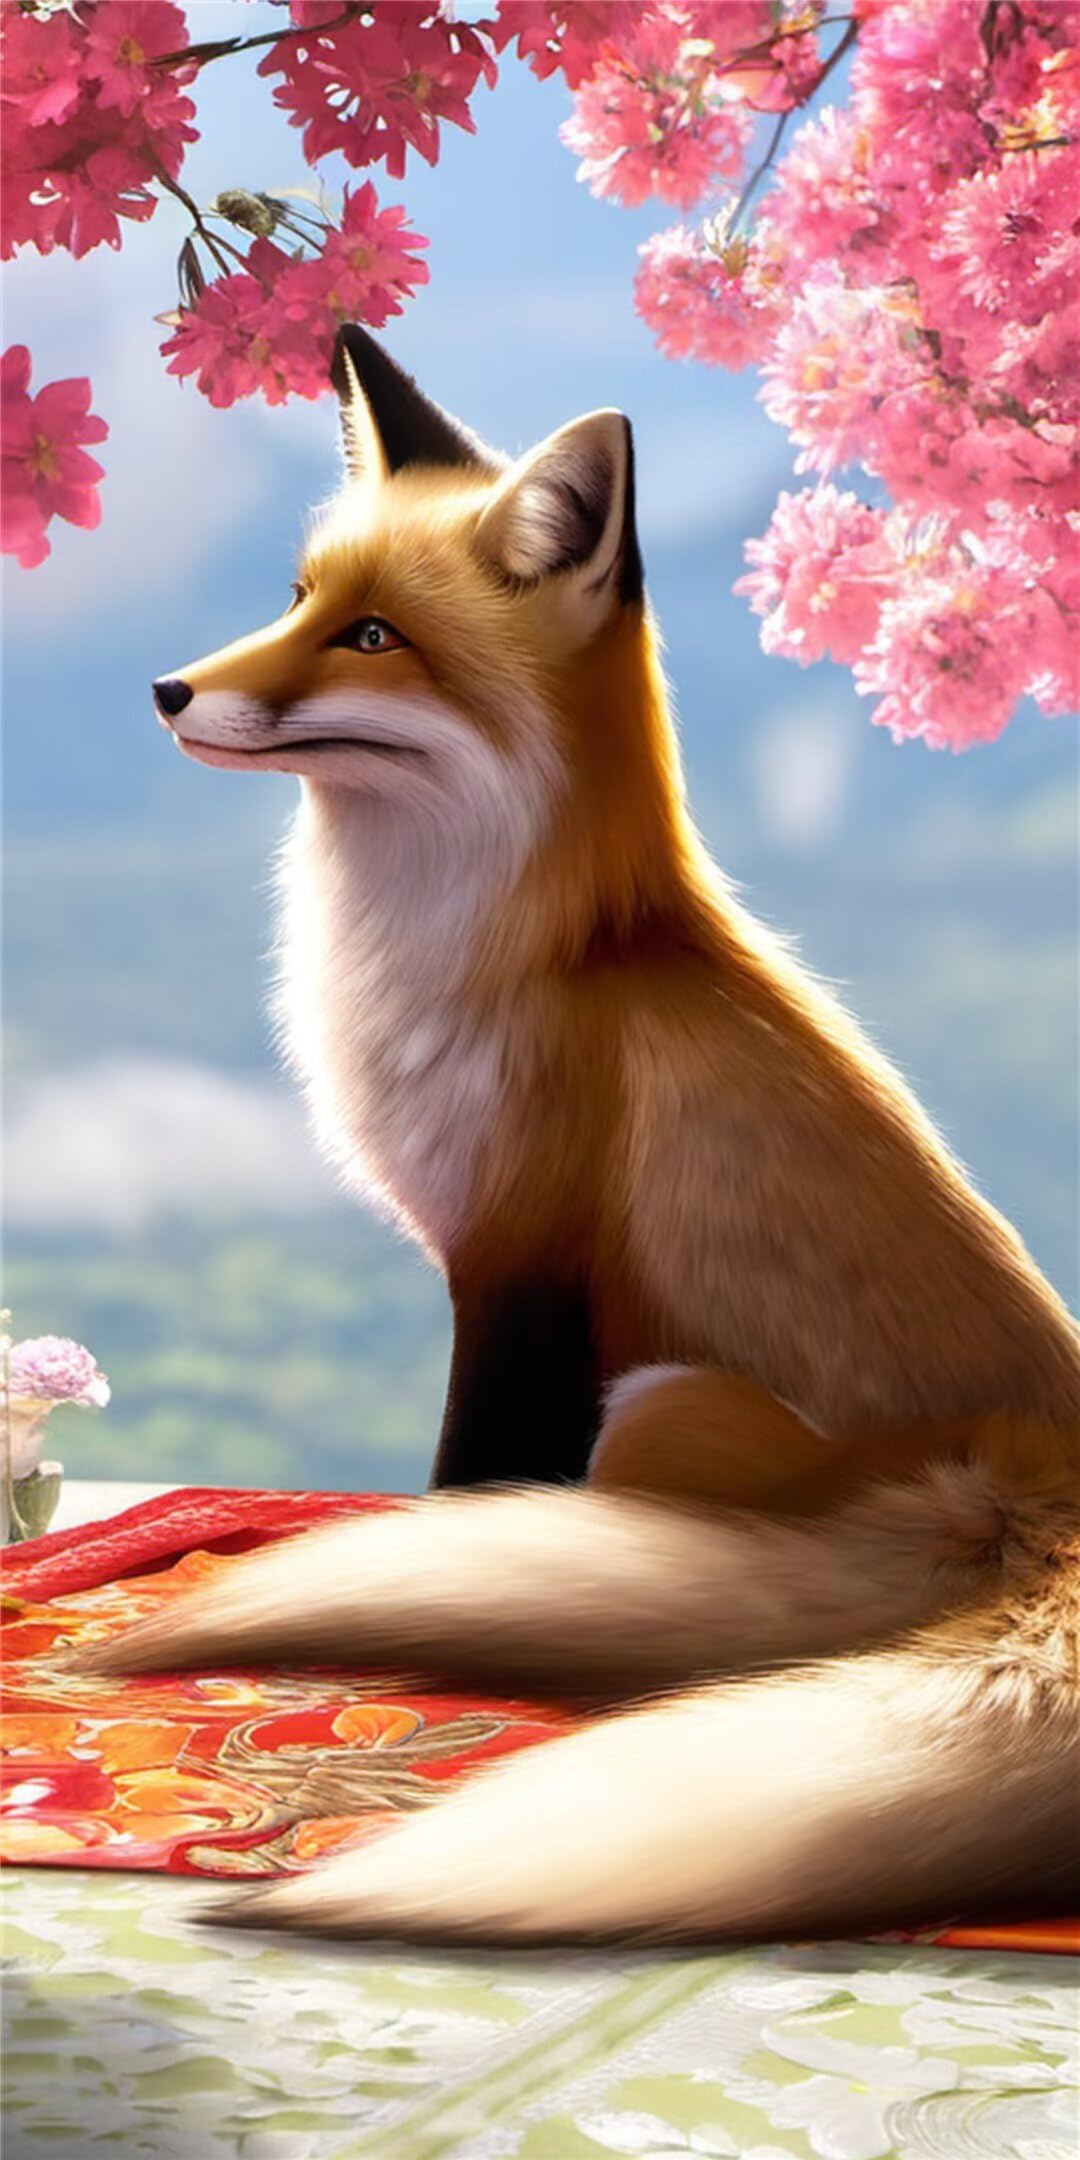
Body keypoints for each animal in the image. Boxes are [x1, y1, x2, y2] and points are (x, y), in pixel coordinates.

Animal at [83, 325, 1080, 1946]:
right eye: (298, 599)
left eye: (375, 637)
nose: (167, 688)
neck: (525, 959)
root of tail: (1026, 1482)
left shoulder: (519, 1261)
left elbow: (458, 1484)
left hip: (658, 1406)